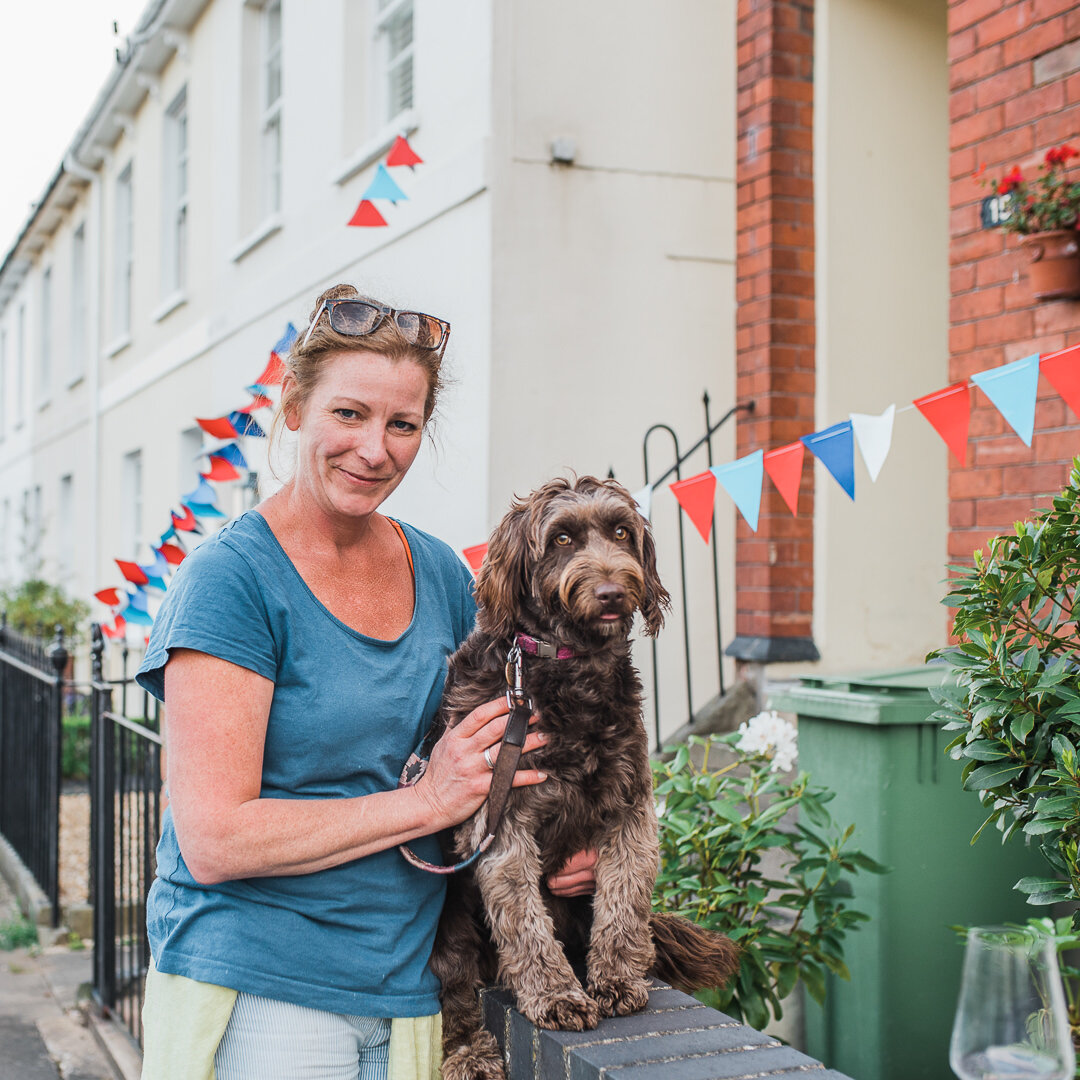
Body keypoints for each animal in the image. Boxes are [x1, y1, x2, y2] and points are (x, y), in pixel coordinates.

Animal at [425, 479, 738, 1080]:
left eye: (621, 531)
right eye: (562, 538)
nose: (613, 592)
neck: (573, 667)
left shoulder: (631, 805)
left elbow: (625, 897)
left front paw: (616, 979)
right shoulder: (500, 818)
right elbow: (523, 919)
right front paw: (556, 995)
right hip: (450, 920)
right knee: (456, 986)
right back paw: (470, 1050)